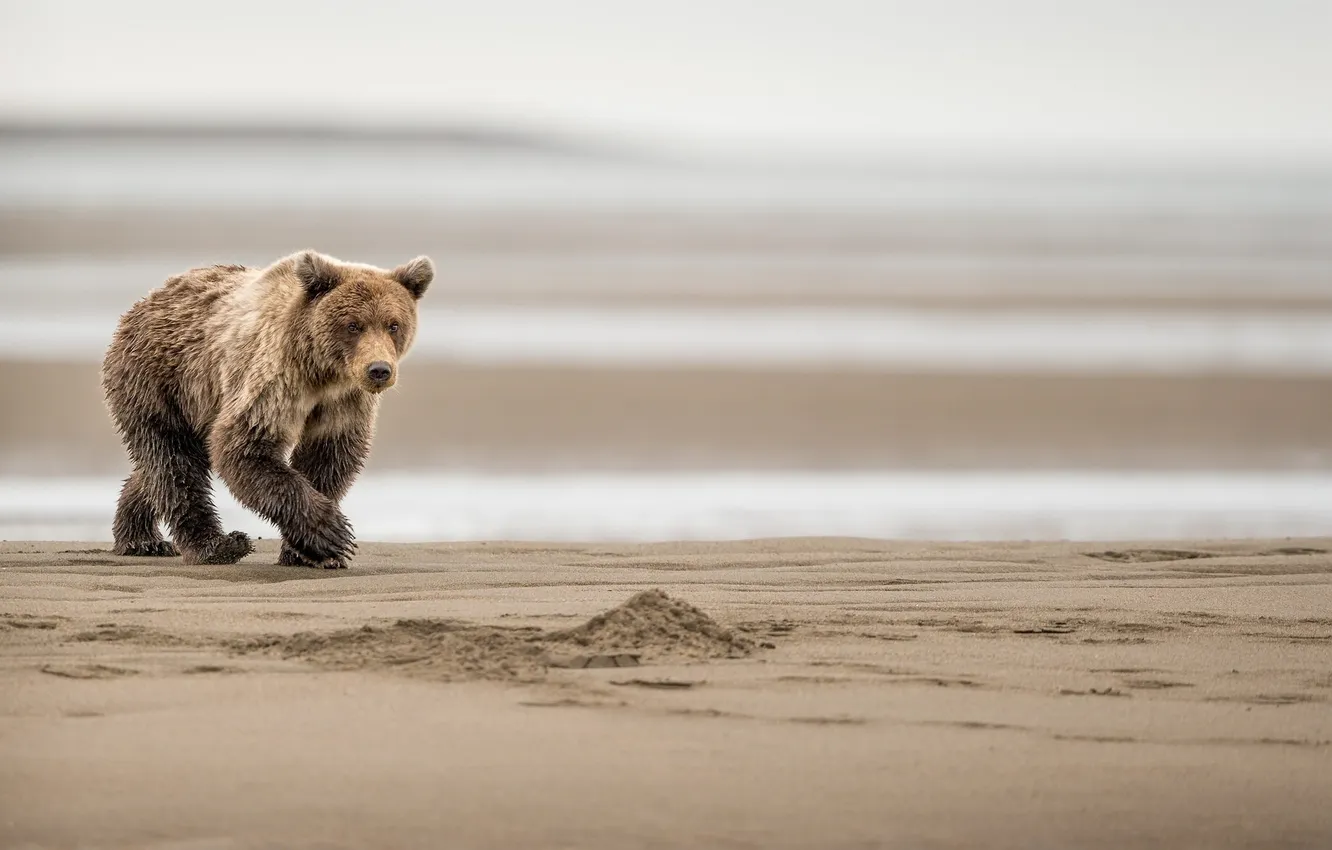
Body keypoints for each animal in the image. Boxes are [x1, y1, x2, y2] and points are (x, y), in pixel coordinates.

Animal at [101, 249, 434, 568]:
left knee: (159, 466)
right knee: (173, 460)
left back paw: (140, 536)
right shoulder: (274, 379)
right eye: (353, 325)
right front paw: (331, 535)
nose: (379, 370)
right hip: (159, 379)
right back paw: (216, 545)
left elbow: (329, 457)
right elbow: (245, 447)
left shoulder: (344, 400)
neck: (321, 372)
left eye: (393, 325)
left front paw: (309, 551)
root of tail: (146, 300)